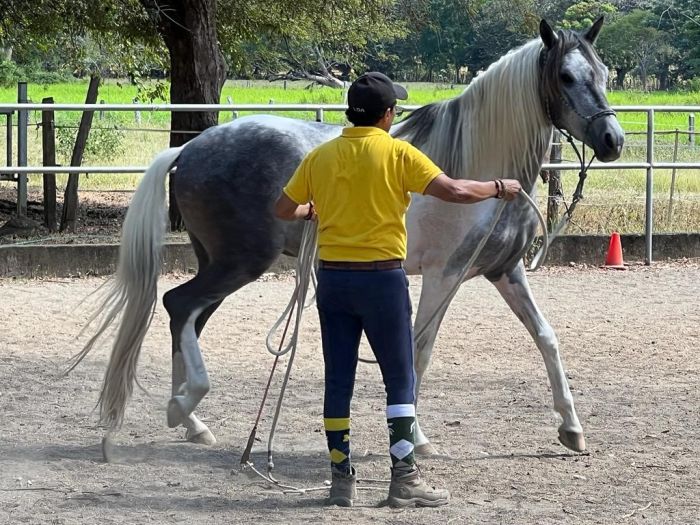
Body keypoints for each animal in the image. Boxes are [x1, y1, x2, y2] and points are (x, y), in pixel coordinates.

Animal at [74, 18, 624, 456]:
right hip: (239, 262)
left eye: (603, 74)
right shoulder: (444, 276)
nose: (613, 140)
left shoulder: (504, 271)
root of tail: (188, 150)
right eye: (566, 76)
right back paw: (186, 405)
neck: (474, 165)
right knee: (179, 305)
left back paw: (189, 420)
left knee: (186, 316)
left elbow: (546, 338)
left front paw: (572, 430)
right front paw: (418, 439)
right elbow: (420, 350)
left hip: (216, 262)